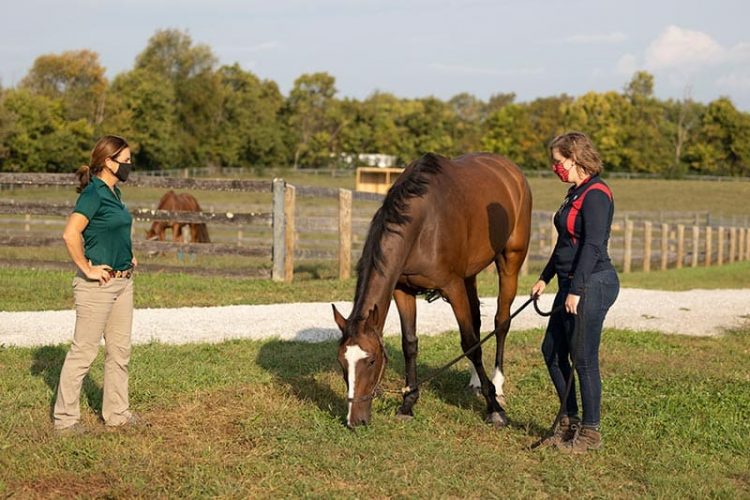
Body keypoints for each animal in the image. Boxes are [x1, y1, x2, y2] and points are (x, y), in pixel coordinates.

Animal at [332, 152, 532, 428]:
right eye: (342, 361)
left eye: (371, 360)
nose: (355, 420)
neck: (425, 223)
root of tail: (512, 171)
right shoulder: (402, 289)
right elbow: (410, 343)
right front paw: (408, 403)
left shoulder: (453, 287)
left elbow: (470, 343)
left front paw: (494, 408)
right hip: (470, 275)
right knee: (477, 321)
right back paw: (475, 381)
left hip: (510, 262)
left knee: (501, 323)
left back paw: (498, 385)